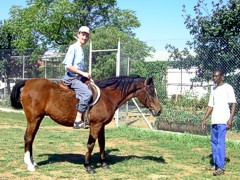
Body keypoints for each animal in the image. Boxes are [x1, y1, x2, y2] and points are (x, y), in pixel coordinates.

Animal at [10, 74, 162, 173]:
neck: (107, 96)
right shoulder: (95, 125)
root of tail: (28, 82)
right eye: (150, 91)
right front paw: (88, 166)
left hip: (38, 118)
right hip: (33, 118)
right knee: (28, 138)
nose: (159, 110)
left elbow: (102, 144)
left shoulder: (102, 125)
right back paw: (30, 165)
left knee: (31, 139)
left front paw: (104, 164)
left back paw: (33, 162)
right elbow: (91, 144)